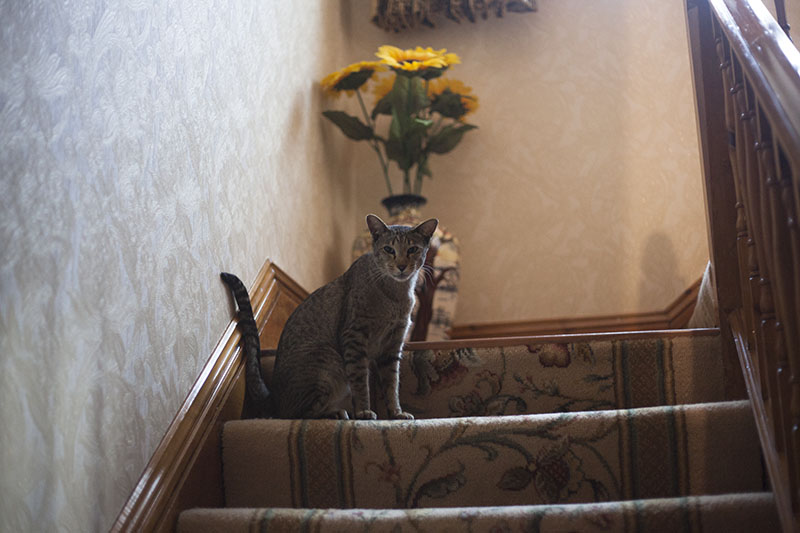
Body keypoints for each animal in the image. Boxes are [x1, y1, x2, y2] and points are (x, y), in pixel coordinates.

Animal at [220, 213, 438, 420]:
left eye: (412, 249)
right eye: (389, 249)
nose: (401, 266)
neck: (396, 293)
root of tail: (273, 398)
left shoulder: (393, 346)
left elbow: (392, 385)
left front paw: (396, 413)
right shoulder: (355, 337)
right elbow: (361, 382)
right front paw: (364, 411)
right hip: (328, 360)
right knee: (298, 413)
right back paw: (336, 413)